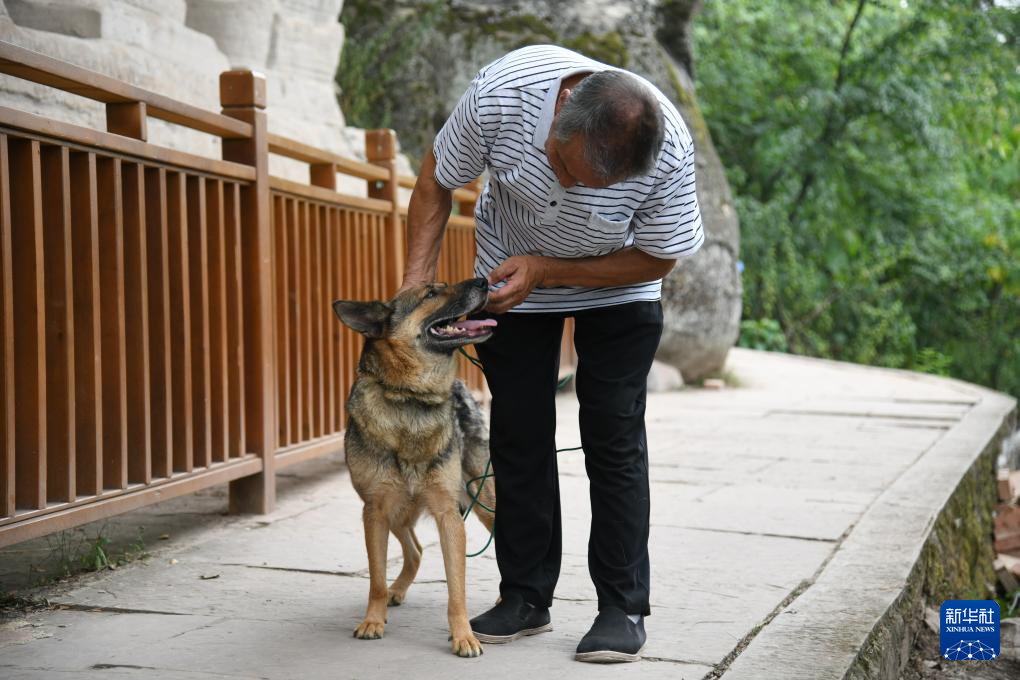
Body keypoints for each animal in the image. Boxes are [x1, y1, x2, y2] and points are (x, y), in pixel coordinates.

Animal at [332, 277, 497, 657]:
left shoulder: (448, 515)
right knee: (416, 550)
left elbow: (456, 589)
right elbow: (375, 579)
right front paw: (372, 620)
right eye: (432, 293)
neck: (410, 396)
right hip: (395, 511)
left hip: (483, 499)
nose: (484, 281)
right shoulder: (374, 511)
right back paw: (395, 591)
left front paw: (463, 635)